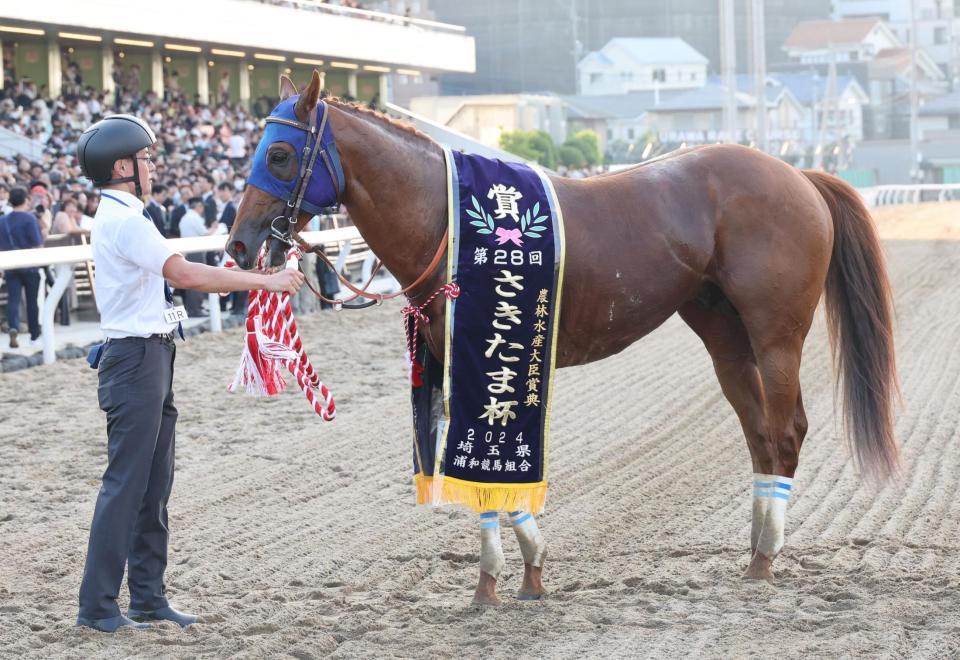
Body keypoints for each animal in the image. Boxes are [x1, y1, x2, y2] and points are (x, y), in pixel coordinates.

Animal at [227, 72, 900, 604]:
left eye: (280, 153)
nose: (237, 243)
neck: (449, 220)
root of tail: (799, 175)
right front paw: (520, 571)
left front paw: (501, 577)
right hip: (723, 333)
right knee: (759, 435)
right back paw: (755, 551)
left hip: (776, 332)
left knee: (786, 433)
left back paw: (767, 558)